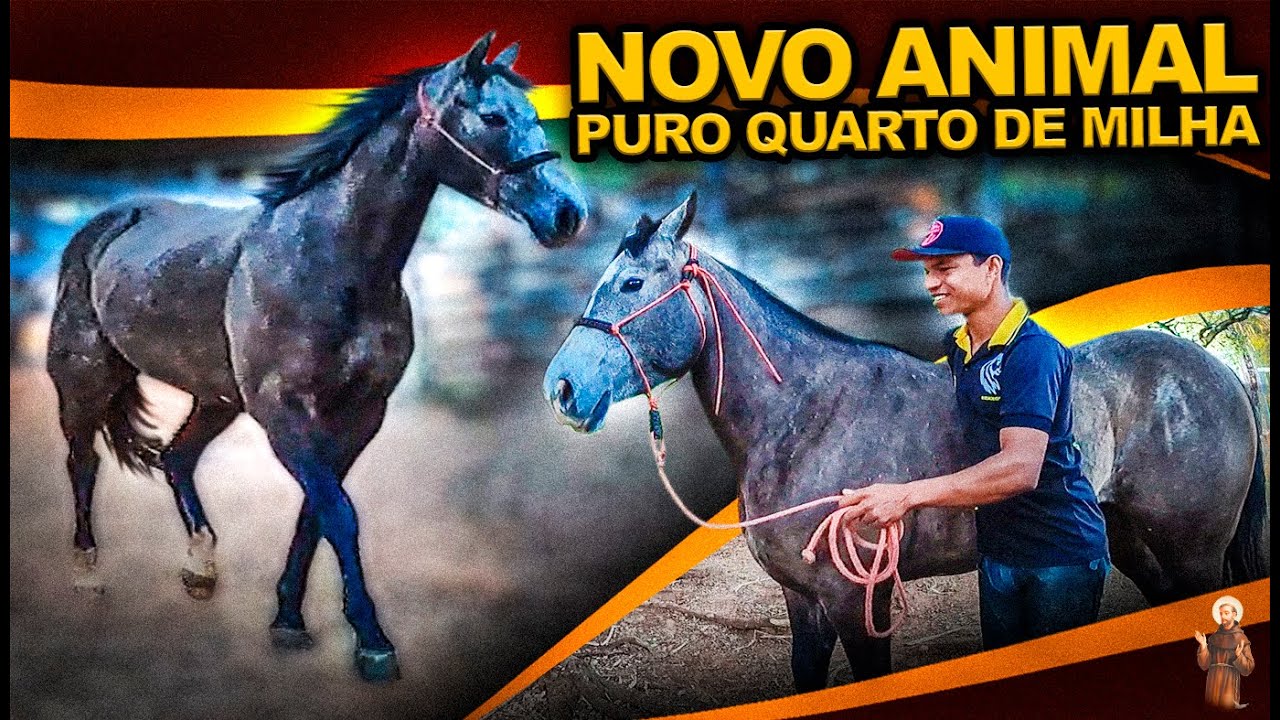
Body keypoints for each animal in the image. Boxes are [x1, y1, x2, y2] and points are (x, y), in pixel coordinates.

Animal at [45, 32, 587, 682]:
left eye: (531, 113)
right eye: (494, 117)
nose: (567, 213)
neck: (330, 265)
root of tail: (105, 222)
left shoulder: (359, 415)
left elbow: (316, 512)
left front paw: (288, 621)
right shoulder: (284, 414)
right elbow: (339, 513)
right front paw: (372, 642)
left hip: (216, 398)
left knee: (177, 458)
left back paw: (200, 570)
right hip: (84, 380)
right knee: (83, 464)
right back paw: (87, 576)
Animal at [543, 192, 1268, 690]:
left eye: (632, 283)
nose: (562, 388)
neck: (806, 417)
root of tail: (1221, 372)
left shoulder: (855, 599)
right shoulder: (802, 601)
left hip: (1193, 552)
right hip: (1130, 542)